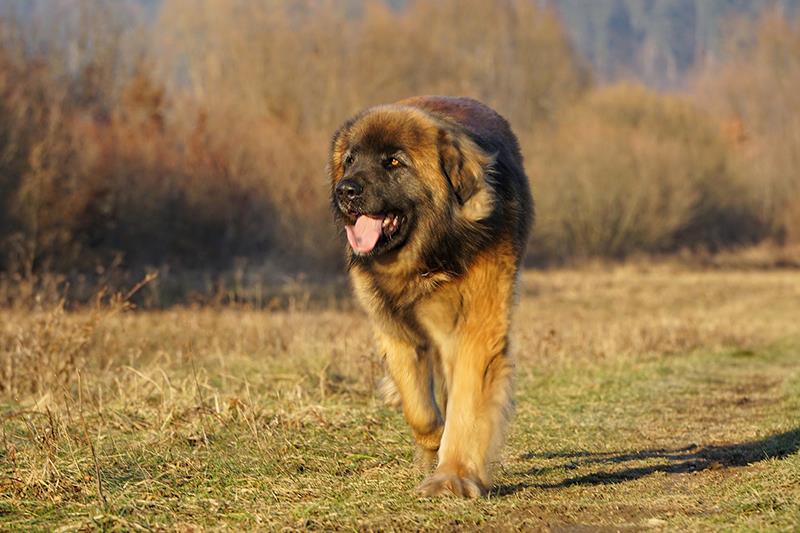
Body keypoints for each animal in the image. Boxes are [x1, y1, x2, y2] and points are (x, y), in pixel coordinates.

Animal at [328, 94, 536, 494]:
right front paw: (433, 443)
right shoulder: (394, 329)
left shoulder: (476, 329)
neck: (429, 256)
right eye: (350, 160)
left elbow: (466, 404)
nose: (345, 190)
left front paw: (453, 475)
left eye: (394, 162)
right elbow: (420, 409)